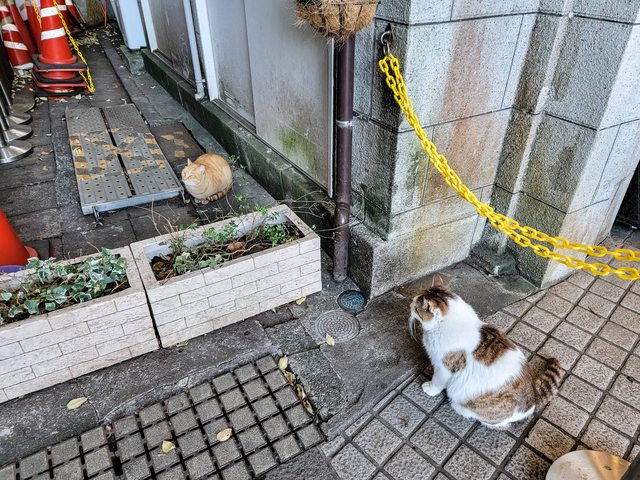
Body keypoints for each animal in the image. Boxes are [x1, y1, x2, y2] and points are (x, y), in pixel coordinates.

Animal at [409, 275, 562, 429]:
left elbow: (438, 381)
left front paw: (430, 388)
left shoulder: (444, 368)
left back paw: (458, 407)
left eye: (416, 306)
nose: (410, 303)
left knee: (497, 423)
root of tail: (534, 397)